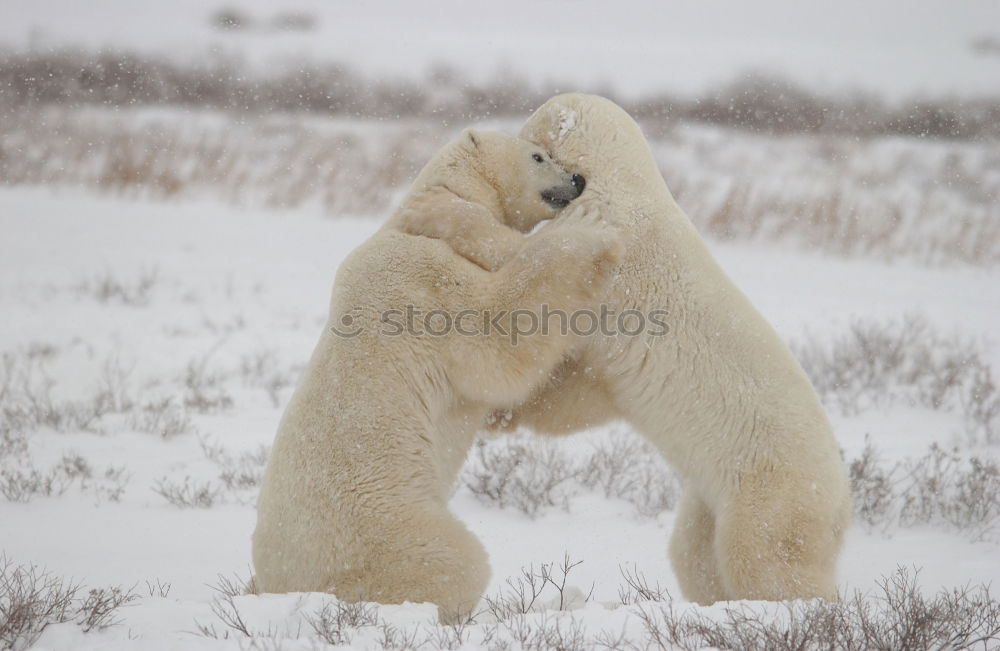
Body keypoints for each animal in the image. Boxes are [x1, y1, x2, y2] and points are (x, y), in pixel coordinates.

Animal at [250, 129, 620, 620]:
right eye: (539, 156)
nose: (578, 179)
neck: (408, 223)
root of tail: (280, 585)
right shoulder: (424, 284)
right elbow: (498, 335)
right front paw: (591, 231)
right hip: (389, 527)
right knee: (453, 561)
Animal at [512, 95, 856, 608]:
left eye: (530, 129)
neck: (622, 185)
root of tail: (843, 501)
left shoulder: (608, 262)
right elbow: (584, 389)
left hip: (772, 486)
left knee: (764, 556)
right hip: (708, 496)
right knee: (695, 553)